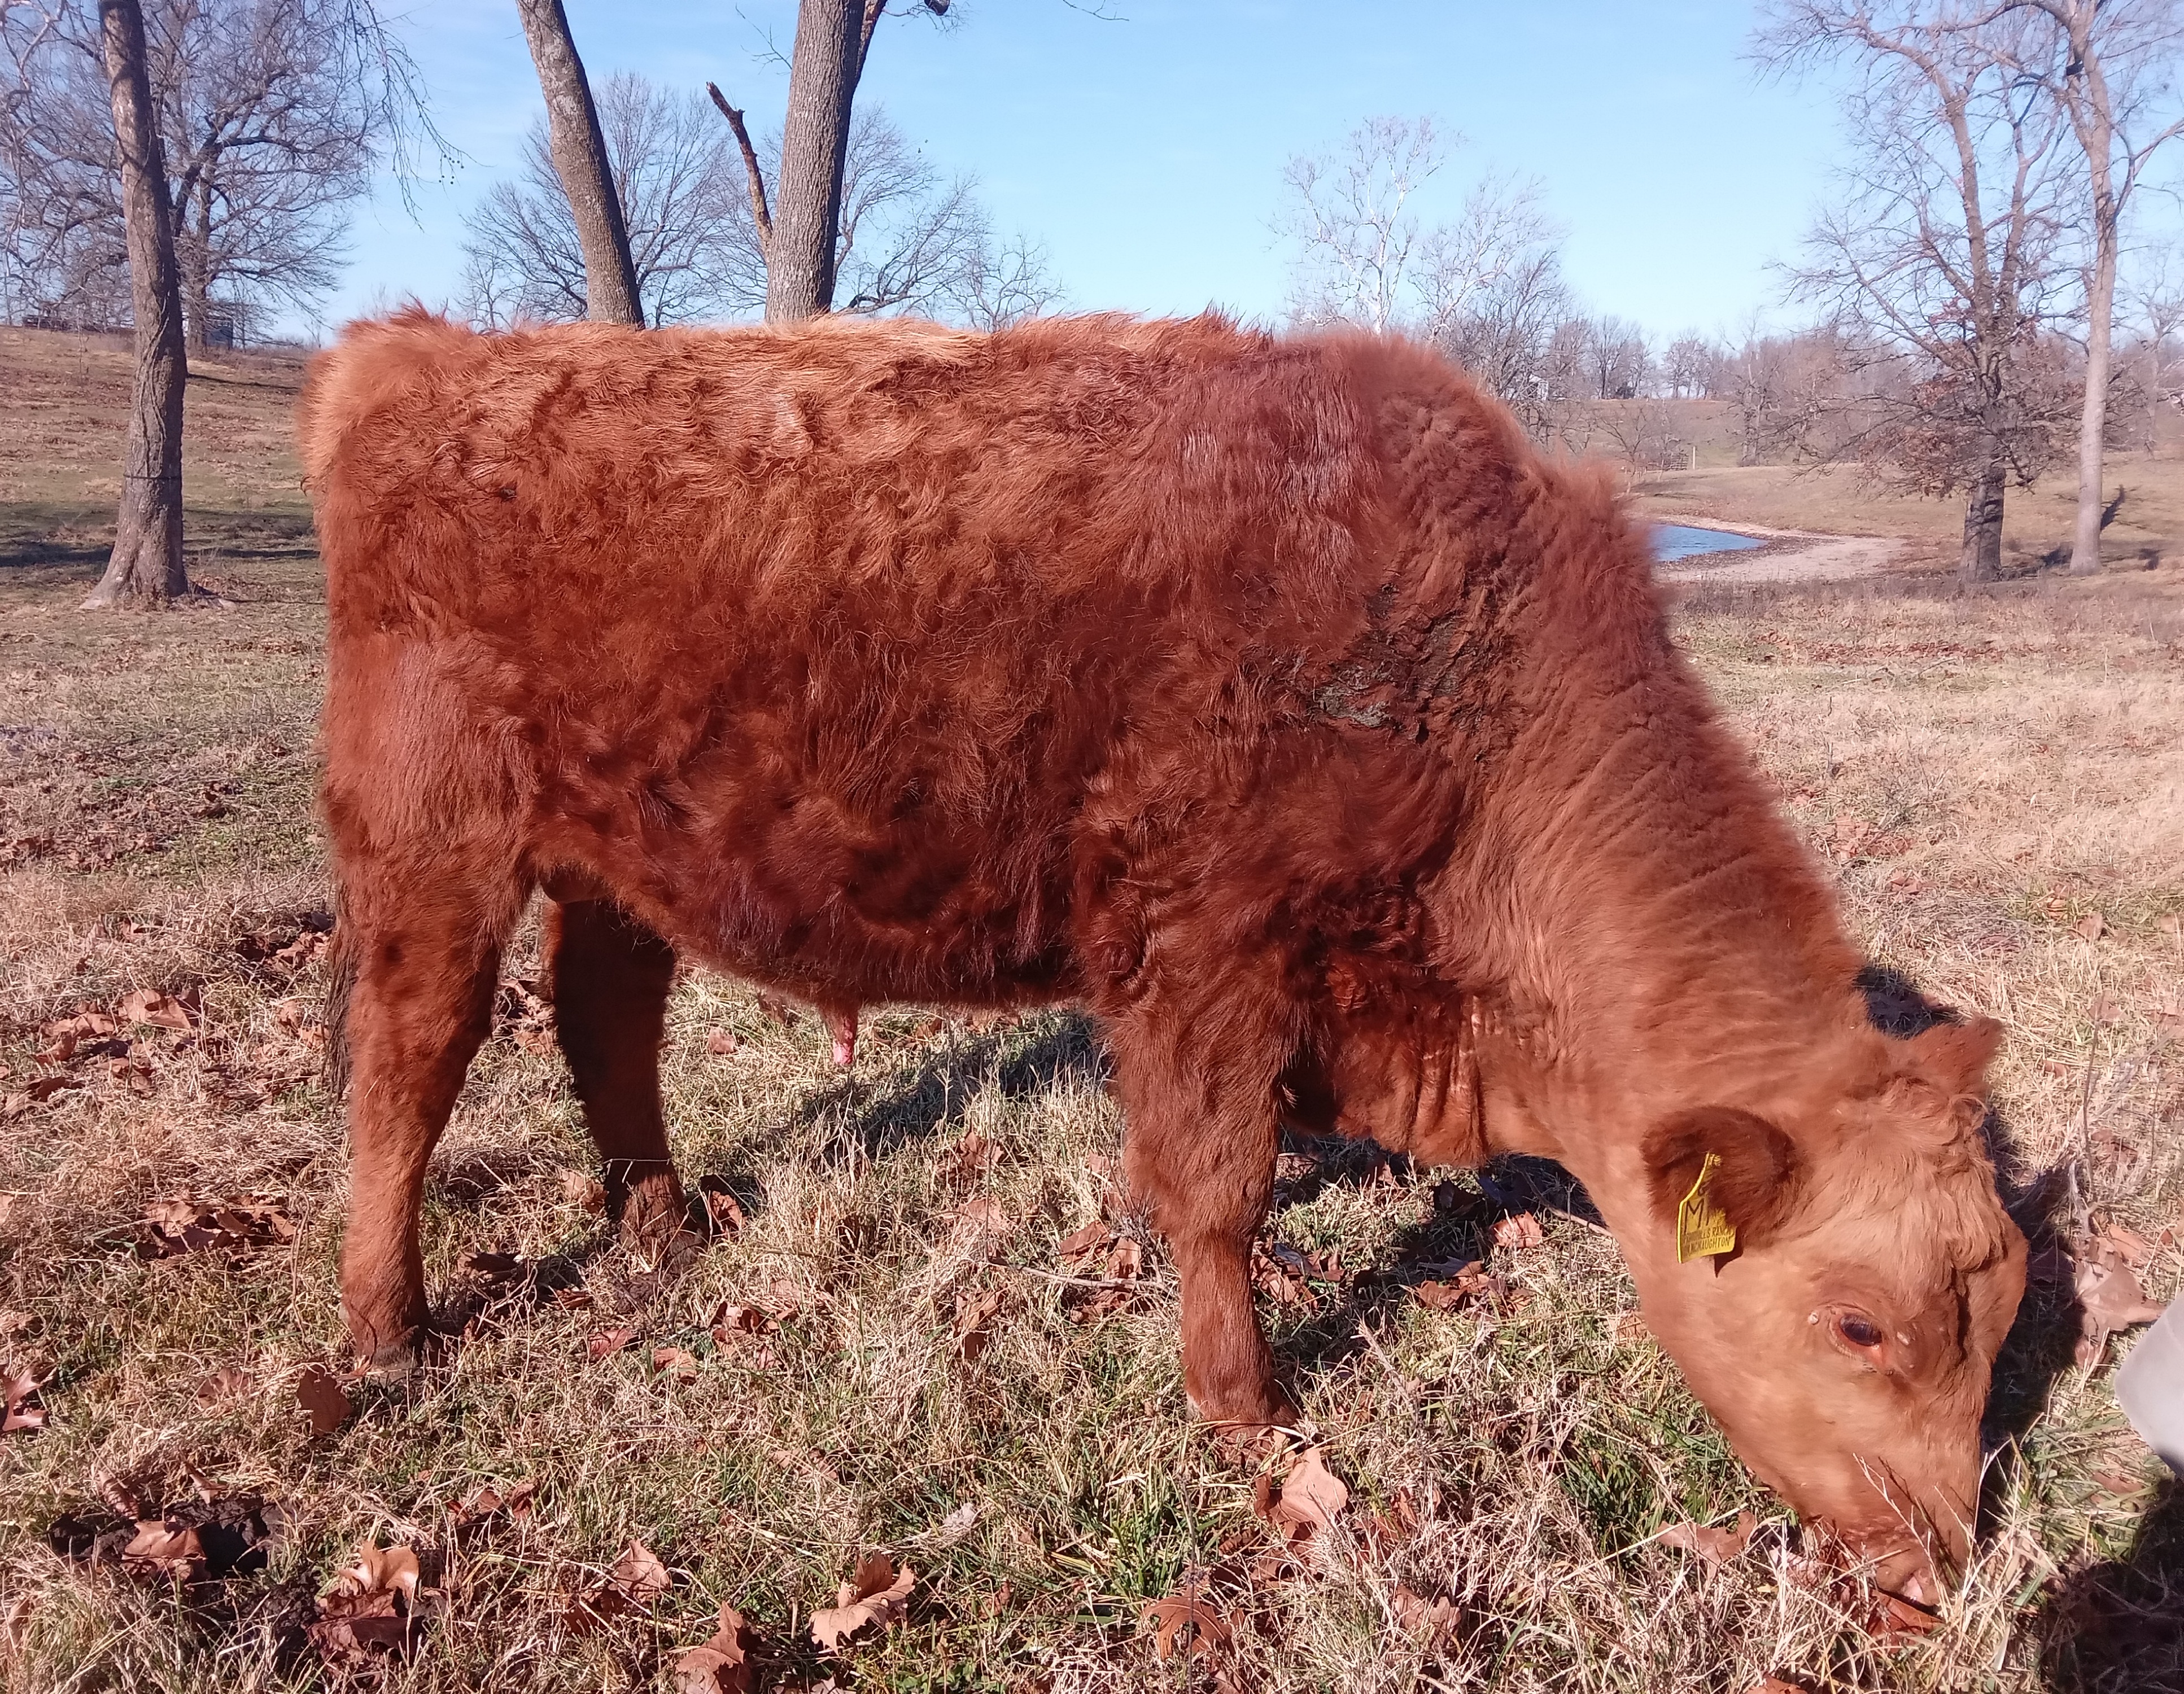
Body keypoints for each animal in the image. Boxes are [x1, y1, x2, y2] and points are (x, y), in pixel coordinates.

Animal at [299, 309, 2025, 1605]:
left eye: (2000, 1306)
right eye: (1858, 1323)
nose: (1946, 1560)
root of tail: (423, 354)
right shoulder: (1203, 944)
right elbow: (1217, 1185)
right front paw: (1245, 1407)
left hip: (617, 860)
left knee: (605, 1019)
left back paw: (658, 1225)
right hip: (434, 844)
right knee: (409, 1062)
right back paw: (386, 1327)